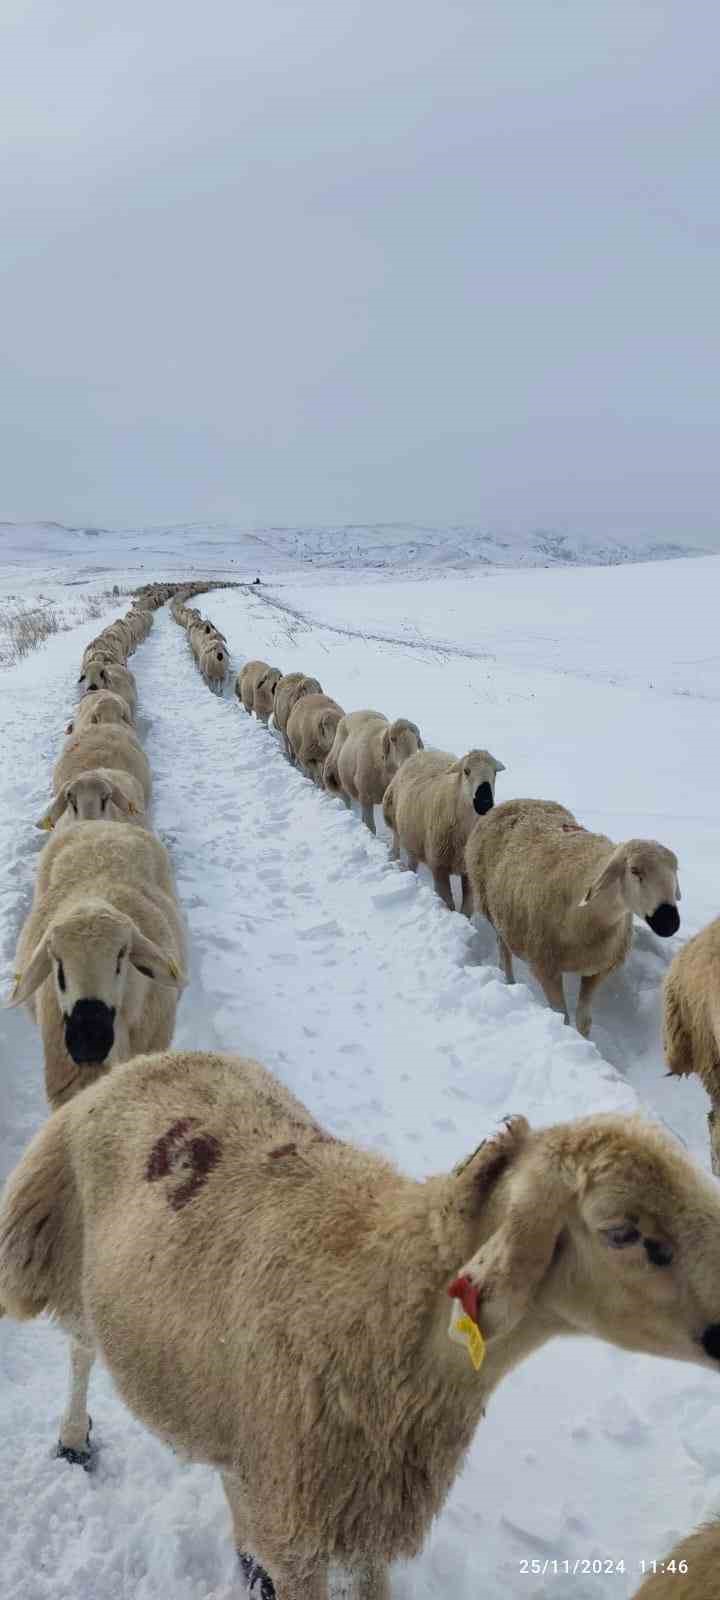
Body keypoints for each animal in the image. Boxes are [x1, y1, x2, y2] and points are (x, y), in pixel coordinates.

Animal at [4, 1056, 720, 1593]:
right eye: (624, 1233)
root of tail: (145, 1062)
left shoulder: (360, 1510)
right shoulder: (306, 1522)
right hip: (71, 1263)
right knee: (80, 1349)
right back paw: (73, 1438)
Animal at [382, 748, 505, 915]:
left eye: (495, 772)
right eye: (466, 771)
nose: (484, 802)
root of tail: (423, 752)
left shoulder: (467, 871)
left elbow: (467, 908)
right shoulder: (438, 866)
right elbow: (448, 904)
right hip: (395, 818)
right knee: (398, 841)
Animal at [467, 800, 681, 1036]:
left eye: (675, 870)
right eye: (634, 870)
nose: (670, 923)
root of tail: (518, 801)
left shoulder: (597, 970)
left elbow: (583, 1020)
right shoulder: (545, 967)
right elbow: (563, 1017)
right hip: (493, 911)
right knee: (503, 951)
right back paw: (510, 982)